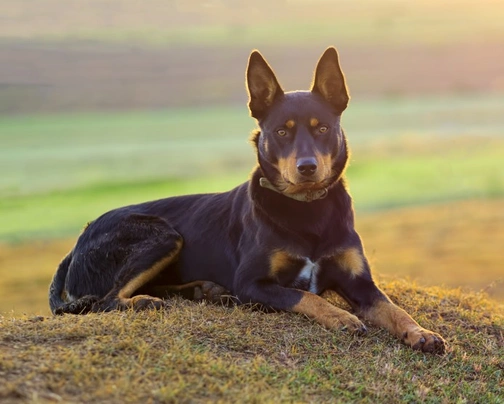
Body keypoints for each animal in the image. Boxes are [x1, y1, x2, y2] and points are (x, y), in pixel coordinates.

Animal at [48, 47, 444, 354]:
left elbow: (394, 309)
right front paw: (341, 316)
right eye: (281, 131)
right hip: (162, 234)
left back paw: (205, 291)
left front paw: (421, 333)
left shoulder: (360, 283)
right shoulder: (254, 284)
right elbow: (305, 296)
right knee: (107, 300)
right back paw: (152, 300)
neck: (307, 209)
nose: (307, 167)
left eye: (322, 128)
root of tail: (76, 243)